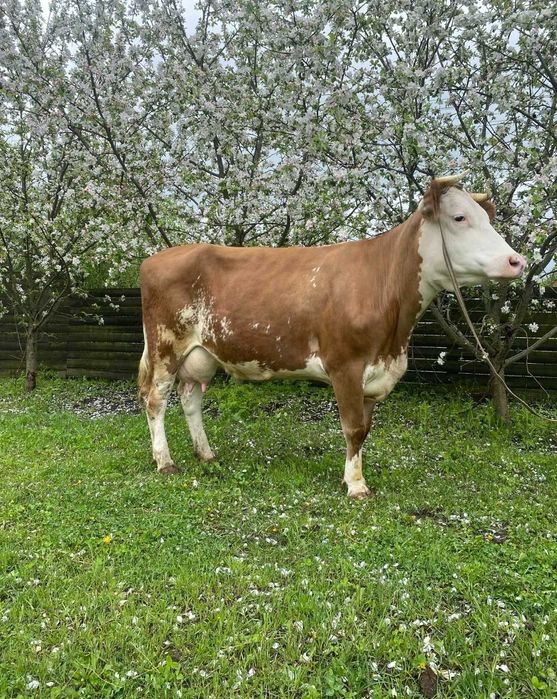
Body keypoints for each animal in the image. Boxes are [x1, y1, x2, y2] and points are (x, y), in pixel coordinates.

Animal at [138, 175, 526, 498]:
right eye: (459, 218)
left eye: (487, 218)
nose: (516, 261)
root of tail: (156, 258)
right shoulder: (346, 366)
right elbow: (352, 428)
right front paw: (356, 486)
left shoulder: (375, 372)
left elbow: (364, 430)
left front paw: (350, 476)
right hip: (165, 345)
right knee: (156, 400)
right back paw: (164, 461)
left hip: (200, 353)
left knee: (190, 399)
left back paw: (206, 453)